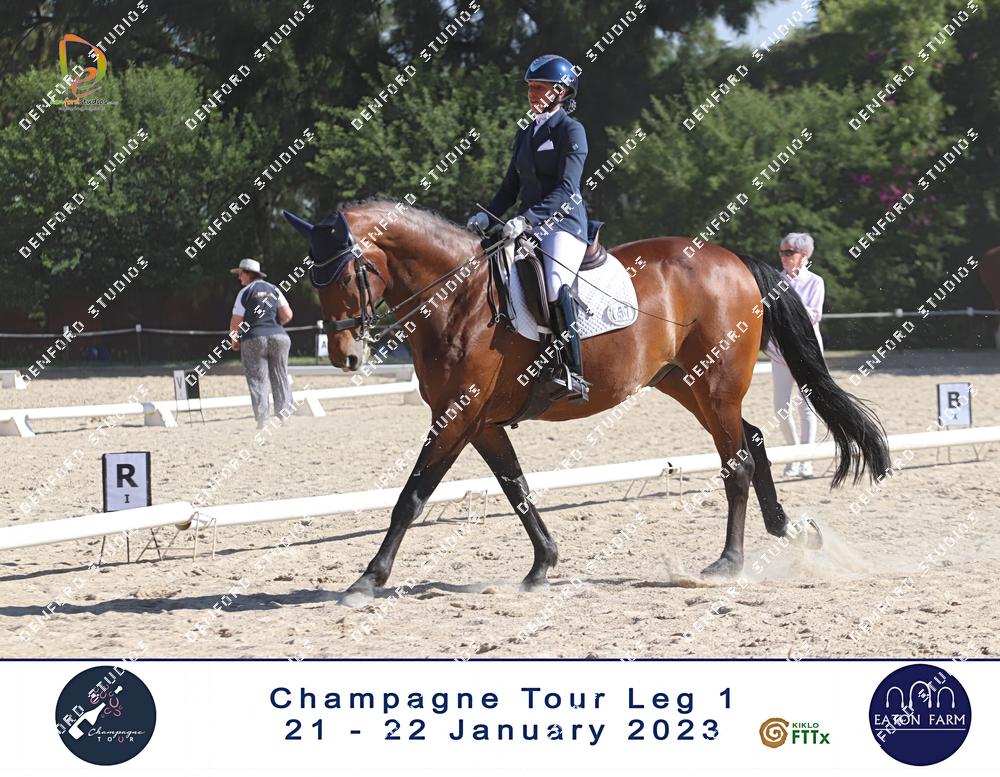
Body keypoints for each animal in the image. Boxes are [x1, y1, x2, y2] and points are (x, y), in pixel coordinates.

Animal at [283, 200, 890, 606]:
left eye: (348, 273)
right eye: (314, 277)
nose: (344, 356)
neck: (460, 299)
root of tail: (733, 260)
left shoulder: (456, 417)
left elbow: (411, 497)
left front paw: (367, 580)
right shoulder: (481, 422)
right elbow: (517, 488)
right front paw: (541, 567)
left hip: (715, 384)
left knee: (736, 460)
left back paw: (727, 563)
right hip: (684, 383)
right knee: (754, 440)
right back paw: (790, 529)